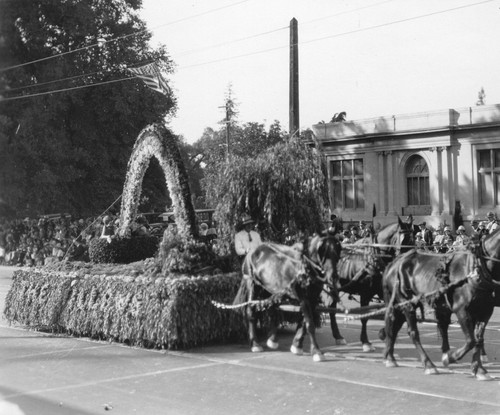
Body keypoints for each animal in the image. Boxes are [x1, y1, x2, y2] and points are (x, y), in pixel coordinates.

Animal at [324, 219, 414, 352]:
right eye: (404, 240)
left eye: (414, 239)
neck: (374, 258)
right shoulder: (365, 293)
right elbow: (365, 318)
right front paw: (366, 342)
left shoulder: (383, 291)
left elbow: (391, 310)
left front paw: (383, 333)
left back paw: (338, 336)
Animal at [380, 229, 500, 382]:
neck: (477, 267)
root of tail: (394, 263)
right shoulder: (462, 310)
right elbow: (470, 340)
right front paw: (450, 357)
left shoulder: (485, 311)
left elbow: (478, 339)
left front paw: (479, 369)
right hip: (407, 303)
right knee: (412, 332)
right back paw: (428, 364)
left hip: (400, 304)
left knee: (393, 326)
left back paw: (390, 357)